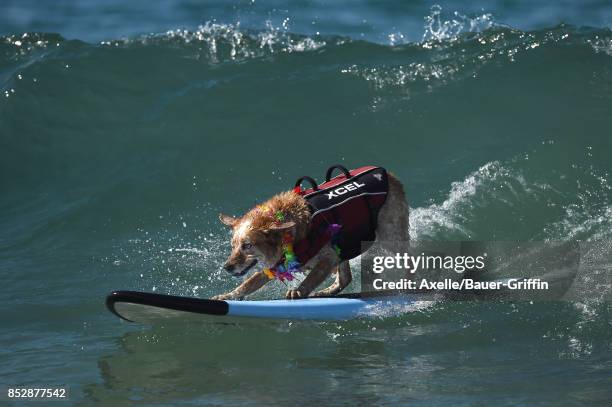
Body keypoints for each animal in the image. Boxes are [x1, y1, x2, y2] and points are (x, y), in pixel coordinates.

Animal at [213, 164, 408, 302]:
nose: (226, 267)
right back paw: (326, 292)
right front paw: (228, 295)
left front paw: (298, 290)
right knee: (345, 278)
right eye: (233, 246)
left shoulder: (328, 257)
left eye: (247, 245)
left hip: (391, 236)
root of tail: (388, 174)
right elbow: (249, 282)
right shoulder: (275, 265)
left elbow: (311, 278)